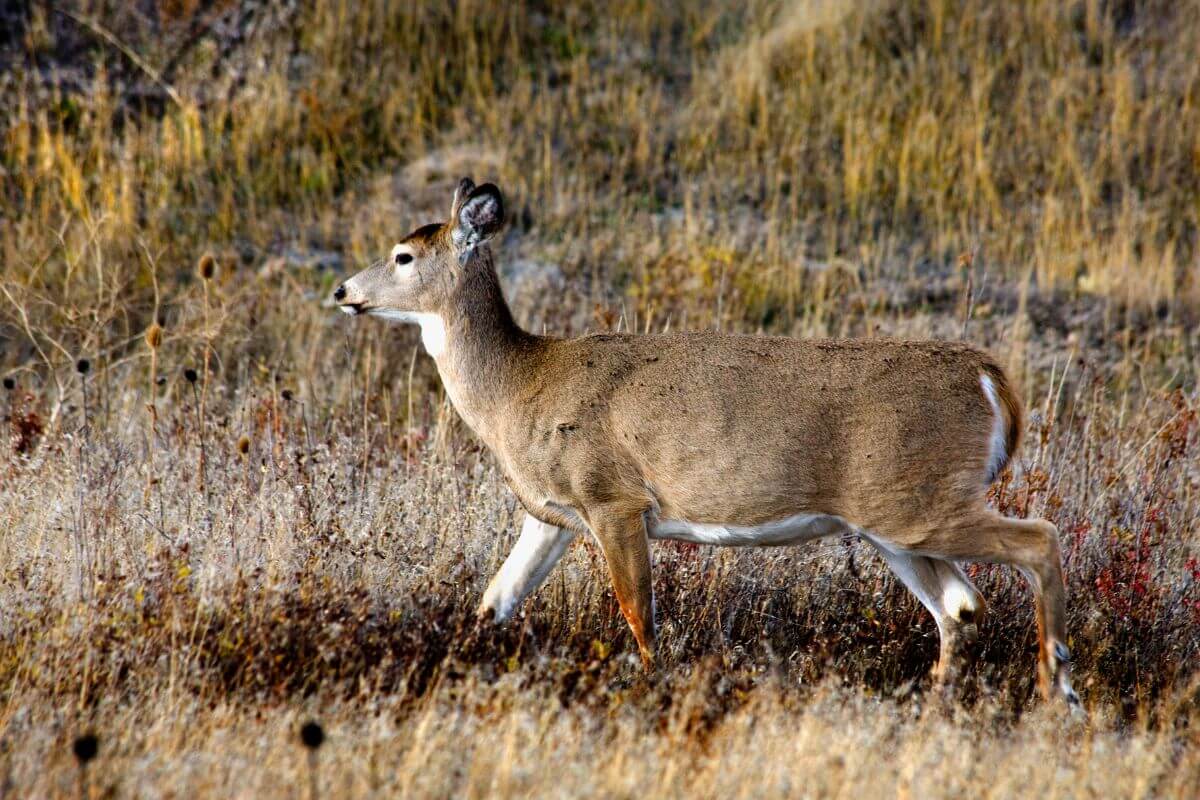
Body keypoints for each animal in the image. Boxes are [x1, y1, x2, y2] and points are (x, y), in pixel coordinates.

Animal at [334, 178, 1081, 710]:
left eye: (402, 255)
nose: (341, 289)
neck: (521, 385)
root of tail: (991, 379)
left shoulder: (614, 497)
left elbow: (639, 616)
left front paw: (654, 692)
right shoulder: (552, 514)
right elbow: (493, 602)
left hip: (919, 501)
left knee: (1039, 541)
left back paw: (1059, 690)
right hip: (894, 521)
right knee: (962, 606)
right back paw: (938, 704)